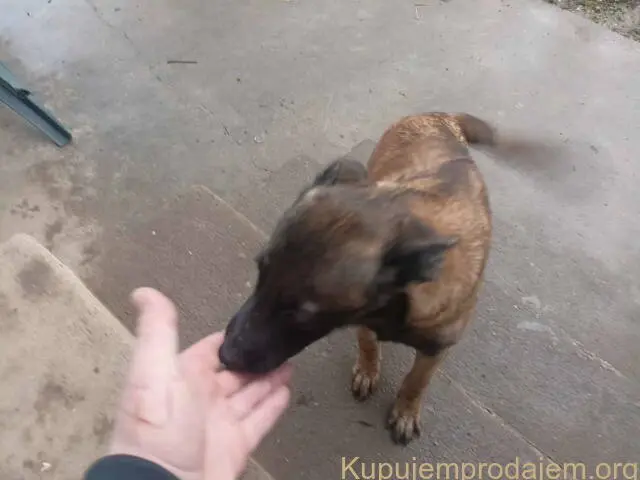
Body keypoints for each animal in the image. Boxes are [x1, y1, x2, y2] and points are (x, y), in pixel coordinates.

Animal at [219, 111, 495, 445]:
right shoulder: (364, 320)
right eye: (261, 272)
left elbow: (417, 380)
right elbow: (367, 343)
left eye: (304, 314)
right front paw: (367, 369)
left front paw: (406, 409)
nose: (224, 355)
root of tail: (439, 115)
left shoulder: (435, 349)